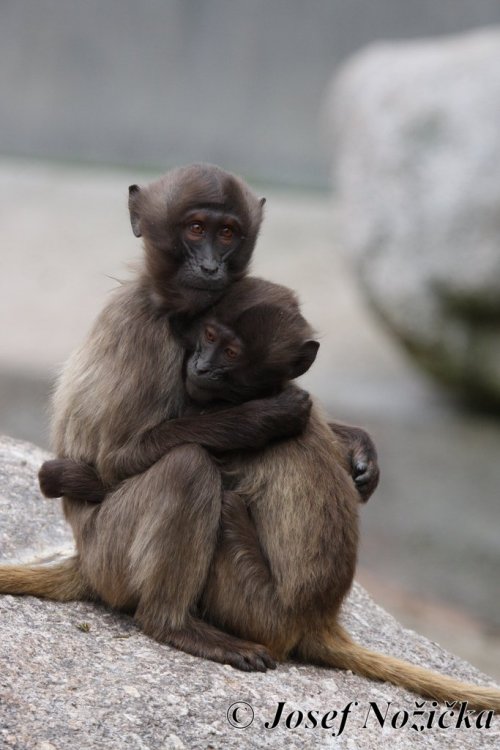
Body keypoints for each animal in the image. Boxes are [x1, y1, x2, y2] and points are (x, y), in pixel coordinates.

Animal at [0, 164, 500, 712]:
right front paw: (268, 418)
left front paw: (356, 447)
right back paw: (170, 624)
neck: (175, 317)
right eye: (195, 229)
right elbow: (110, 462)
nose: (211, 267)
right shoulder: (141, 330)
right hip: (113, 551)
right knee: (188, 467)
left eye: (227, 234)